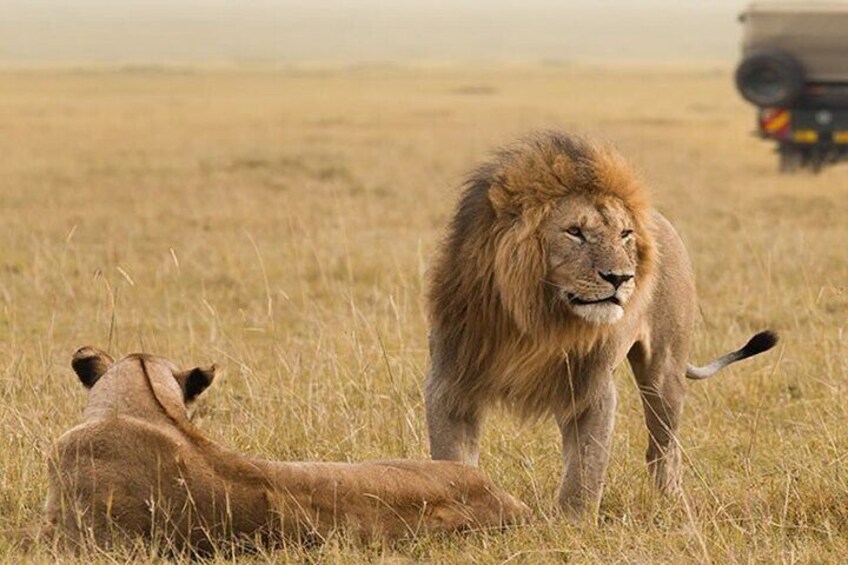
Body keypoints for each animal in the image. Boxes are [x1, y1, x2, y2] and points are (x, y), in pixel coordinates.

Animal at [424, 131, 778, 520]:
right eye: (575, 232)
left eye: (624, 234)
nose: (621, 278)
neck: (536, 320)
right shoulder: (451, 382)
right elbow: (452, 461)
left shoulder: (591, 388)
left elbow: (585, 469)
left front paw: (572, 524)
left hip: (664, 372)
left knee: (663, 447)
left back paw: (671, 503)